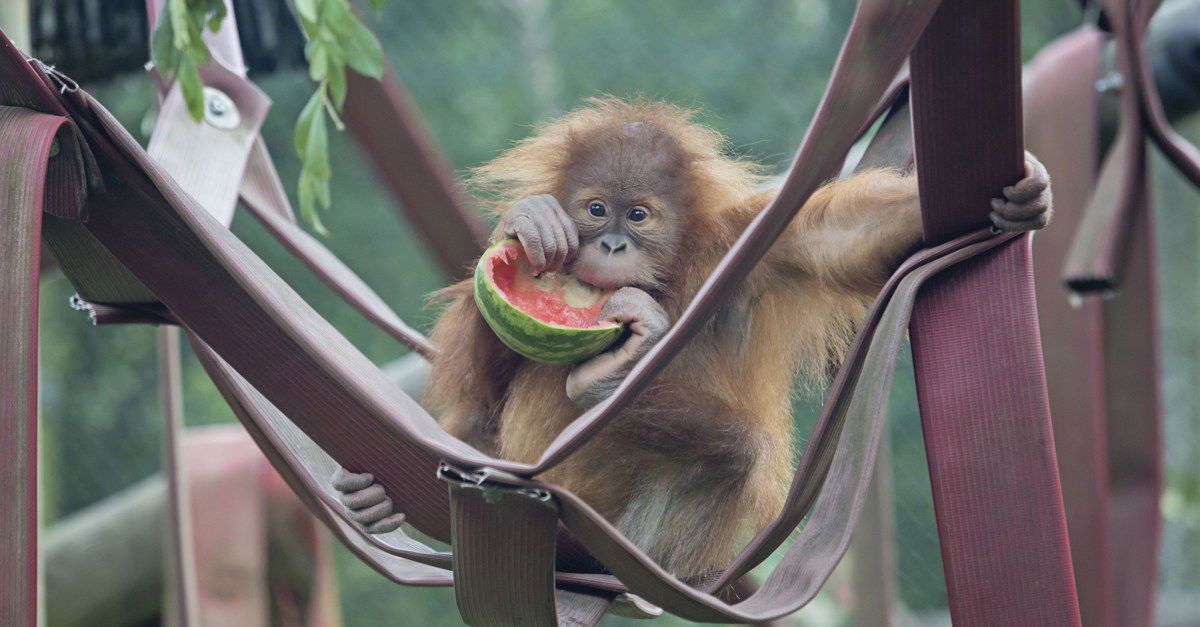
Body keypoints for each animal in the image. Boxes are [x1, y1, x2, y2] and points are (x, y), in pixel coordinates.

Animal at [332, 97, 1052, 578]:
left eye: (638, 215)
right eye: (595, 209)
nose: (611, 243)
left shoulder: (750, 250)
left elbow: (838, 237)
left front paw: (1022, 191)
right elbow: (480, 394)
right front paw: (526, 221)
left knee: (739, 448)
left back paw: (611, 395)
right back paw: (376, 501)